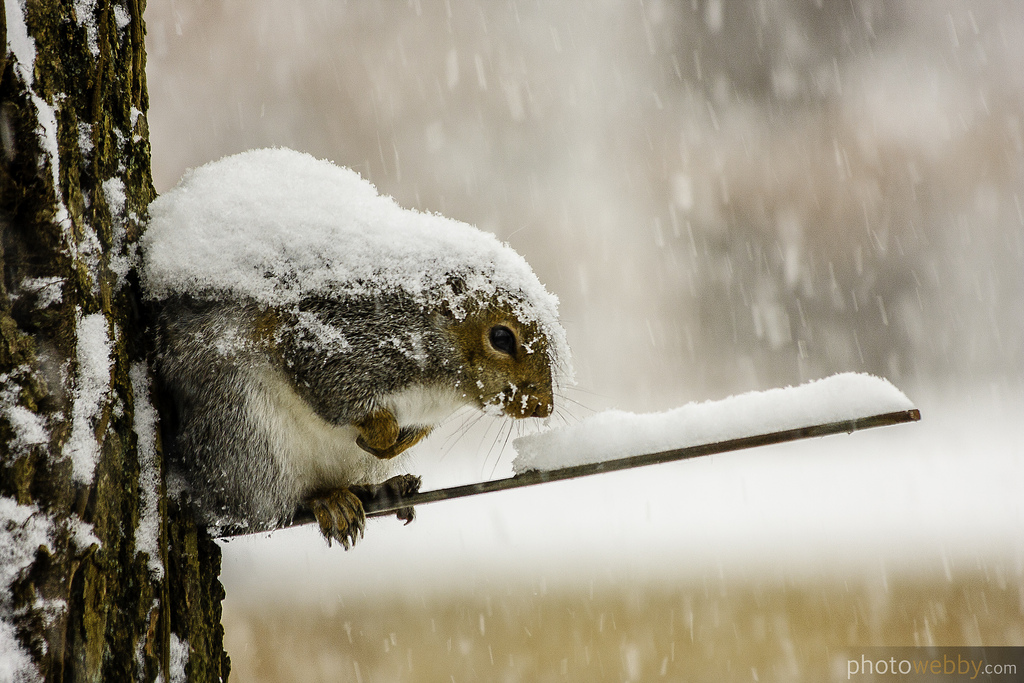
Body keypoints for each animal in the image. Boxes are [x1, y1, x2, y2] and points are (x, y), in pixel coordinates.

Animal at [155, 286, 557, 548]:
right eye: (501, 338)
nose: (544, 407)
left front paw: (393, 444)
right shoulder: (339, 350)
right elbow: (334, 394)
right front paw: (379, 434)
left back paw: (384, 488)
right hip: (247, 435)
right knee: (270, 504)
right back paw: (326, 501)